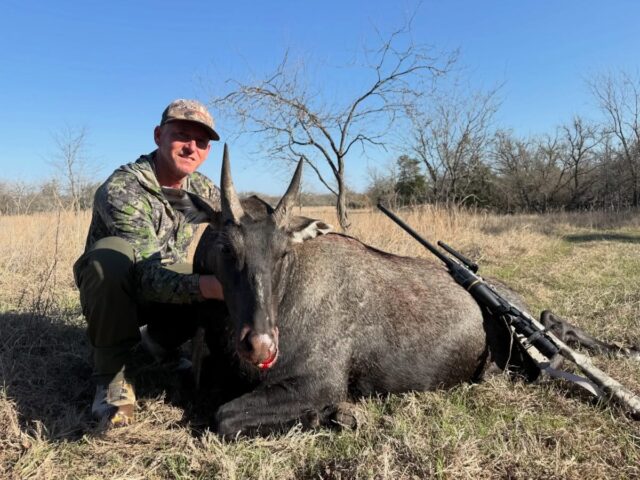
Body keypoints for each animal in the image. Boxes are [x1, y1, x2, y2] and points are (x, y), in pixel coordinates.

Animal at [165, 146, 638, 436]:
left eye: (283, 252)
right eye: (227, 248)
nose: (261, 345)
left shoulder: (319, 382)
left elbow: (224, 418)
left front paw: (339, 416)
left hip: (520, 358)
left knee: (553, 331)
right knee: (553, 327)